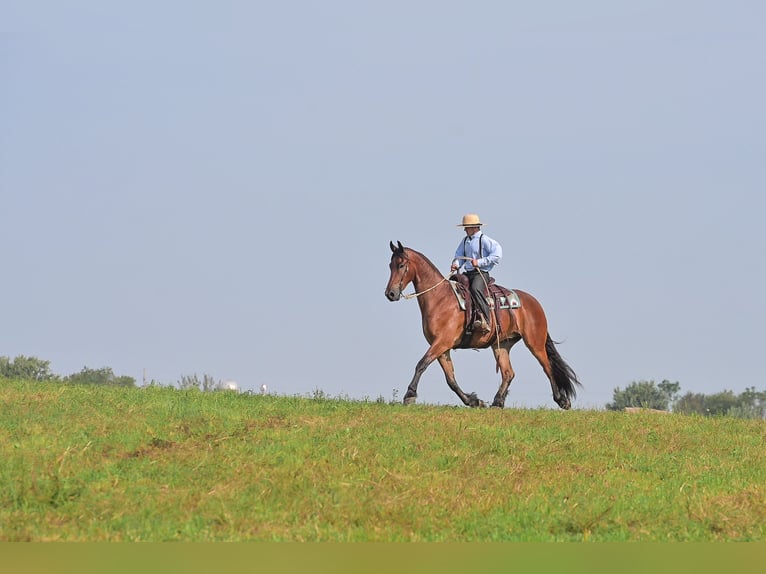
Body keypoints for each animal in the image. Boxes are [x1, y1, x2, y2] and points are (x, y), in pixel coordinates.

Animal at [384, 241, 581, 409]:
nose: (390, 294)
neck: (440, 298)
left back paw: (561, 400)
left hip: (535, 343)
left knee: (547, 367)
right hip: (501, 345)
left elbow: (421, 364)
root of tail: (534, 303)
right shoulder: (442, 347)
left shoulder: (442, 342)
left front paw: (409, 395)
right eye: (390, 265)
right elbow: (450, 378)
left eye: (401, 265)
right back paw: (497, 402)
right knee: (508, 373)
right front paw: (473, 401)